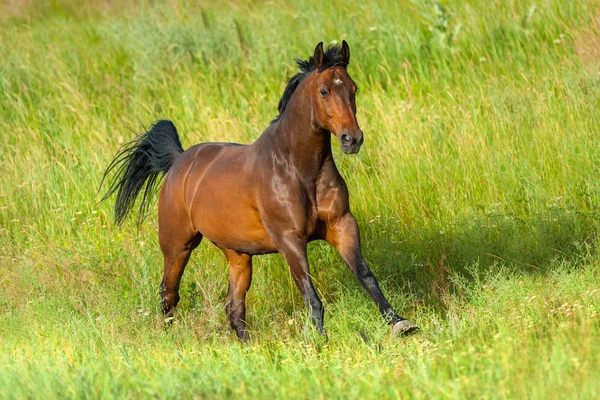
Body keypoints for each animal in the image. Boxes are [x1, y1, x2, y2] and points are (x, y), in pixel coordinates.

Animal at [103, 41, 418, 340]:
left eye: (353, 88)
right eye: (324, 91)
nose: (352, 139)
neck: (300, 170)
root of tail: (178, 161)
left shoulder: (342, 225)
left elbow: (366, 276)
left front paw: (400, 323)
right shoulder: (289, 239)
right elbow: (311, 296)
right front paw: (321, 341)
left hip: (237, 255)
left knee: (233, 307)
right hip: (178, 245)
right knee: (169, 296)